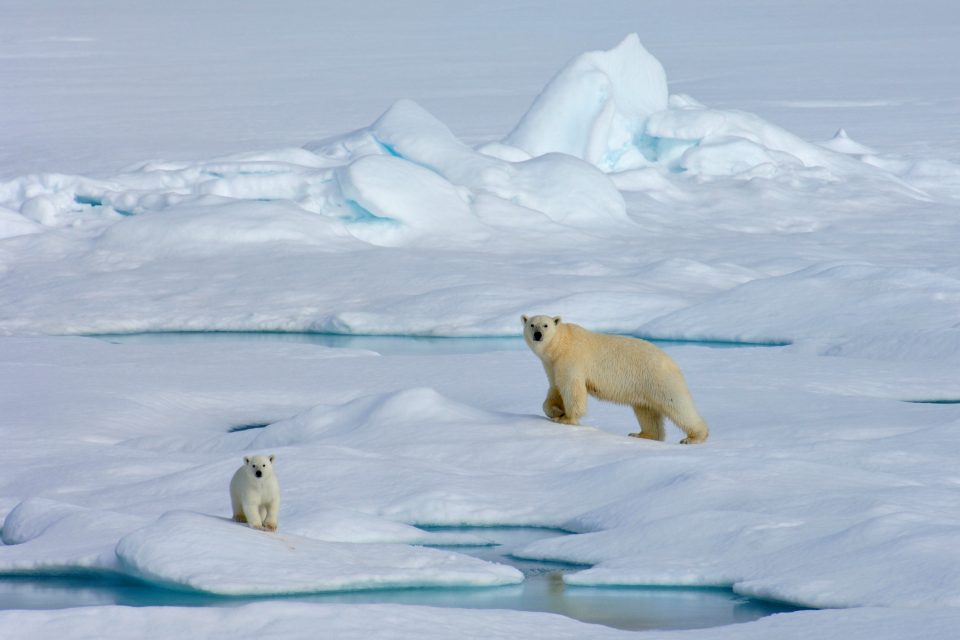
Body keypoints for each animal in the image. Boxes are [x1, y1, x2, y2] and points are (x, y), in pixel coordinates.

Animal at [522, 315, 709, 444]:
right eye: (532, 324)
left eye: (545, 325)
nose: (537, 334)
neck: (561, 344)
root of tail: (672, 362)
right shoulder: (552, 365)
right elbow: (555, 389)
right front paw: (556, 411)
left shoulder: (572, 359)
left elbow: (572, 390)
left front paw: (566, 419)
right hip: (645, 386)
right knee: (646, 411)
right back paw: (642, 434)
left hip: (659, 378)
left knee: (677, 404)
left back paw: (693, 437)